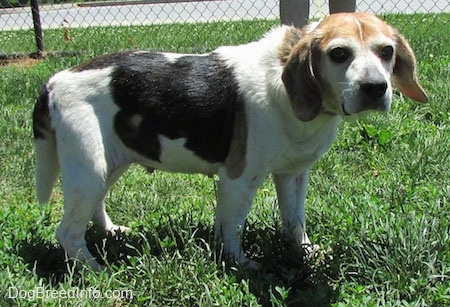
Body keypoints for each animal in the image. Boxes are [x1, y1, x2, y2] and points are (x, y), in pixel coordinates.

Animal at [33, 13, 428, 270]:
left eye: (386, 52)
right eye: (339, 53)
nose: (375, 88)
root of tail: (53, 81)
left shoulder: (293, 175)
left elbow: (294, 221)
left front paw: (304, 253)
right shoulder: (239, 180)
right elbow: (232, 227)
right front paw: (239, 263)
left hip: (108, 163)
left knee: (92, 209)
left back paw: (111, 232)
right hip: (89, 168)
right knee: (67, 233)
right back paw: (96, 271)